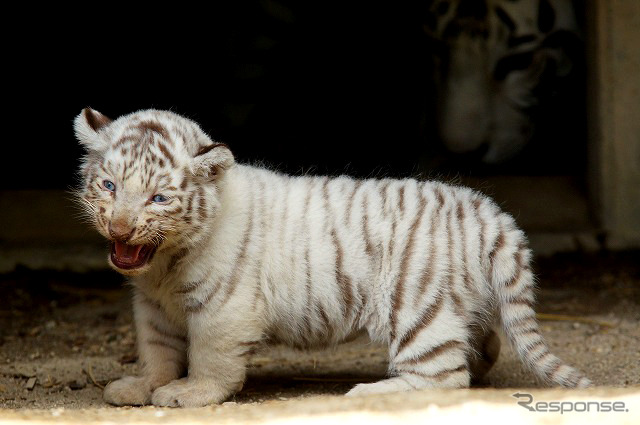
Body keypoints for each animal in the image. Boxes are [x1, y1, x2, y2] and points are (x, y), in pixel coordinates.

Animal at [74, 107, 592, 406]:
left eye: (159, 198)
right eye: (109, 186)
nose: (120, 229)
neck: (163, 263)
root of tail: (490, 213)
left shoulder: (224, 309)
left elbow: (209, 357)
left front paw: (189, 393)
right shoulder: (153, 307)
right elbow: (157, 351)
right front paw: (141, 387)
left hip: (416, 304)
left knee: (444, 375)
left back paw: (371, 392)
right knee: (479, 347)